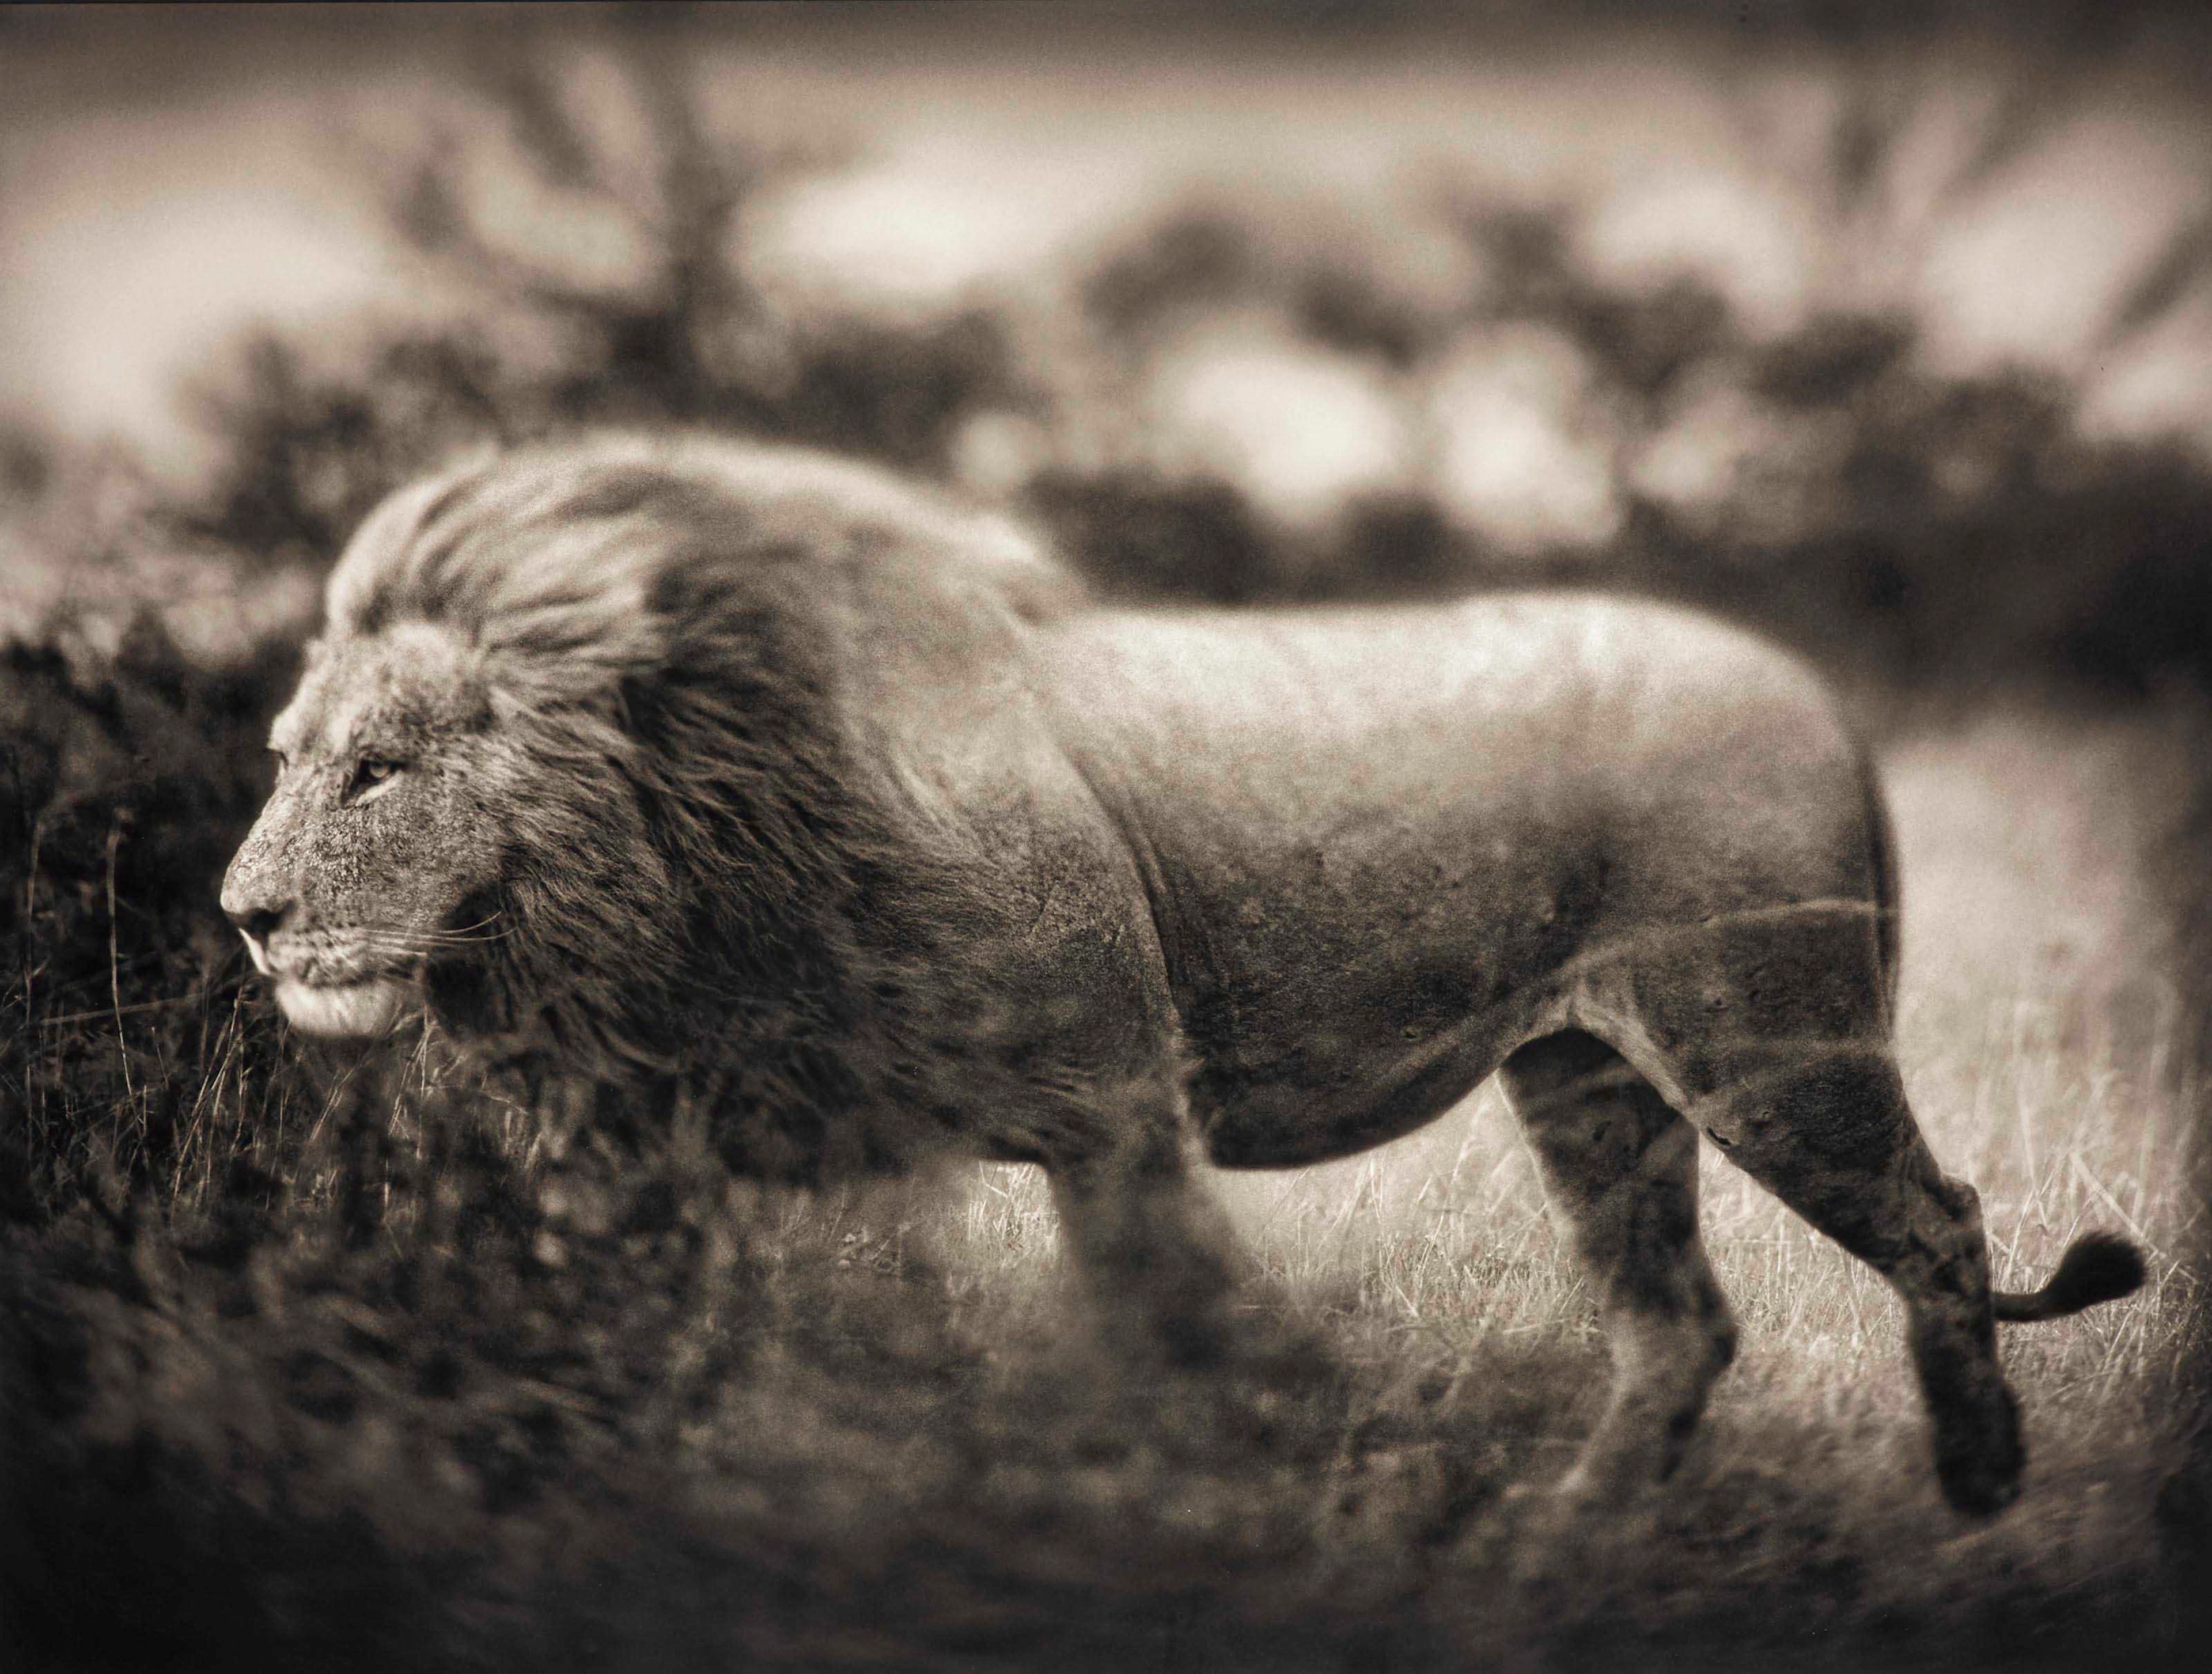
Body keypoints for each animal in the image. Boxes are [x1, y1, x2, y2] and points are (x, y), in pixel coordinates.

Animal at [221, 434, 2143, 1517]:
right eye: (285, 754)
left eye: (376, 771)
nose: (240, 911)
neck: (693, 830)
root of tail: (1817, 688)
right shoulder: (655, 1144)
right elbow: (657, 1334)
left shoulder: (1113, 1106)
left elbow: (1193, 1329)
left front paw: (1282, 1481)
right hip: (1590, 1085)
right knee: (1680, 1317)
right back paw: (1567, 1537)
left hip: (1768, 1046)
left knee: (1940, 1220)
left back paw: (1977, 1486)